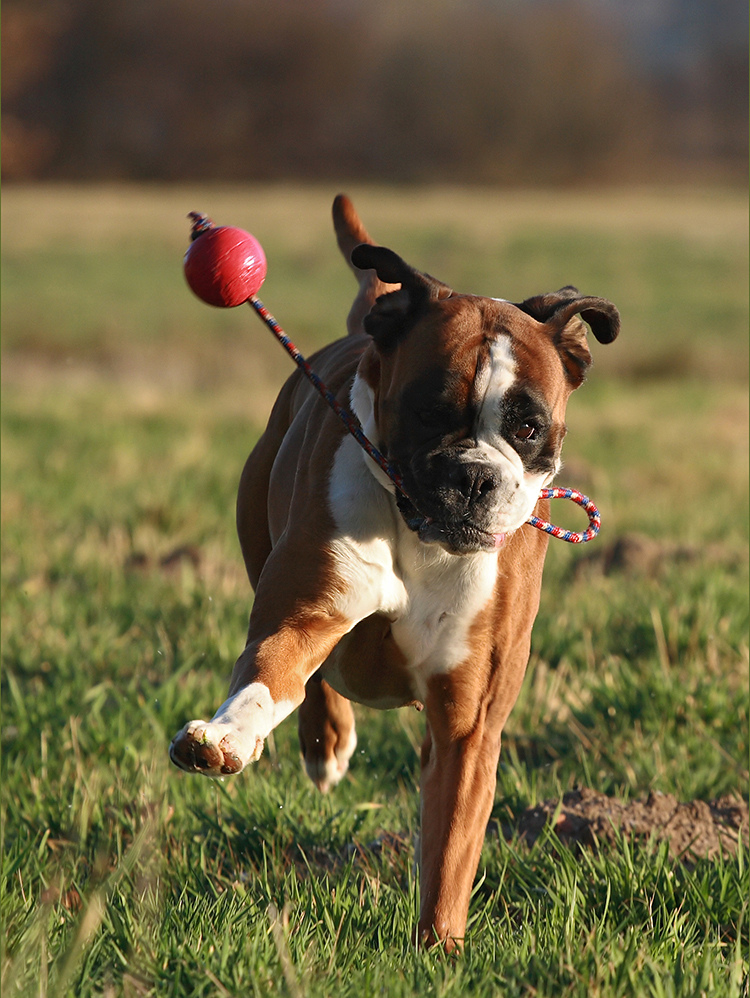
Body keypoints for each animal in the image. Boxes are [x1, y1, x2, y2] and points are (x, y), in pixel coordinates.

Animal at [172, 197, 624, 952]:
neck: (424, 544)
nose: (474, 476)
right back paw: (323, 742)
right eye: (427, 411)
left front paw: (440, 948)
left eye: (527, 428)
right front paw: (227, 736)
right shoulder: (304, 611)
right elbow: (270, 676)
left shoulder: (469, 725)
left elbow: (450, 847)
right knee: (316, 680)